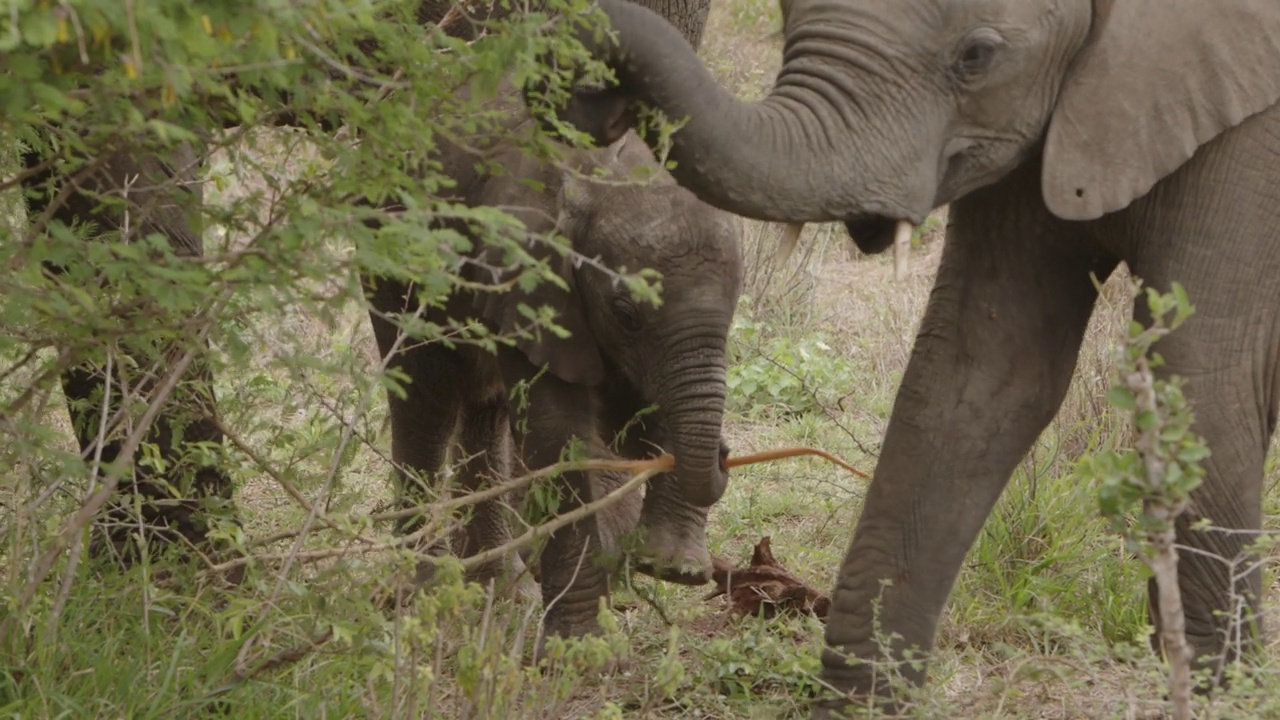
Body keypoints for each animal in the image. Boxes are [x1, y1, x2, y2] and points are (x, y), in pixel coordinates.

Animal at [360, 119, 747, 645]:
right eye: (627, 314)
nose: (726, 453)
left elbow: (637, 414)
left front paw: (674, 566)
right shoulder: (526, 279)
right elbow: (558, 437)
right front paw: (579, 649)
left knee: (485, 407)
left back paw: (499, 590)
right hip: (391, 249)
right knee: (425, 401)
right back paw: (426, 592)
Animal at [532, 0, 1280, 707]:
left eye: (977, 56)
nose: (589, 93)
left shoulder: (1251, 139)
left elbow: (1200, 379)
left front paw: (1216, 694)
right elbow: (974, 378)